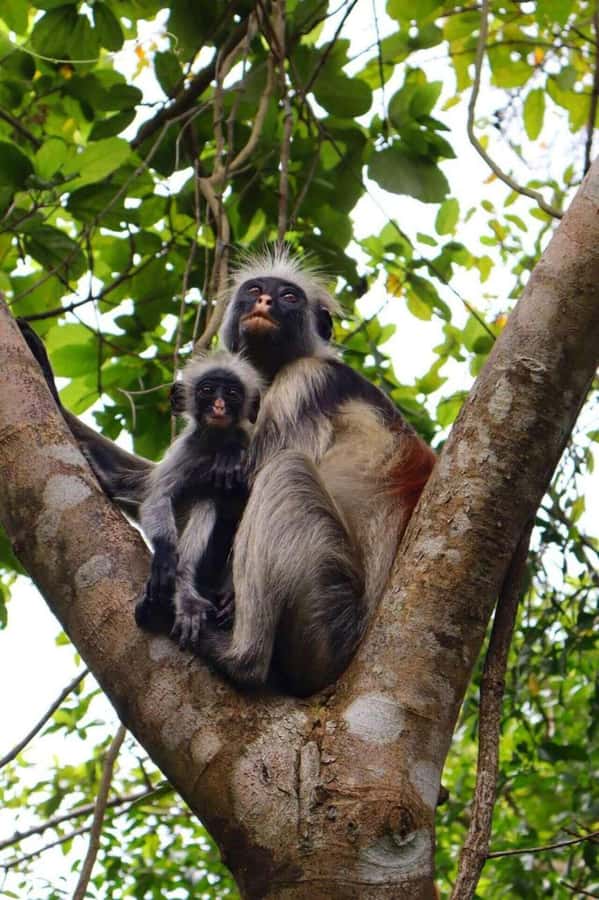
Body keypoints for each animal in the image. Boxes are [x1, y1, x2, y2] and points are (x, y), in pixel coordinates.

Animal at [135, 350, 262, 649]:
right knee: (206, 500)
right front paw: (165, 555)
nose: (218, 405)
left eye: (231, 393)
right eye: (207, 390)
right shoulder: (188, 449)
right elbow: (157, 498)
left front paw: (231, 454)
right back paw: (186, 593)